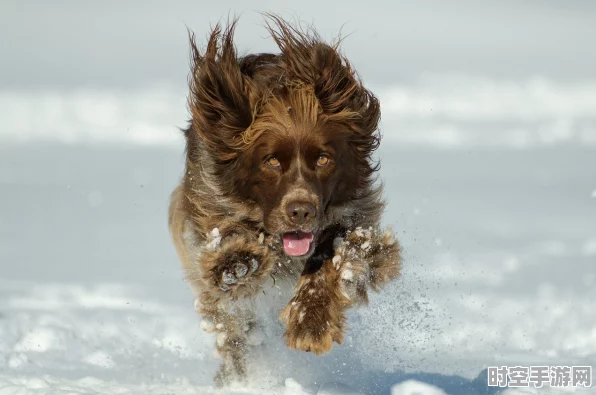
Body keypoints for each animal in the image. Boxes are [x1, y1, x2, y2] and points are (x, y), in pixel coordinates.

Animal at [166, 14, 400, 386]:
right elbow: (225, 245)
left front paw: (311, 322)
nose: (301, 211)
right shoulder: (206, 211)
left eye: (323, 159)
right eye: (271, 161)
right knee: (233, 333)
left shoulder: (359, 220)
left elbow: (340, 251)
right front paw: (238, 262)